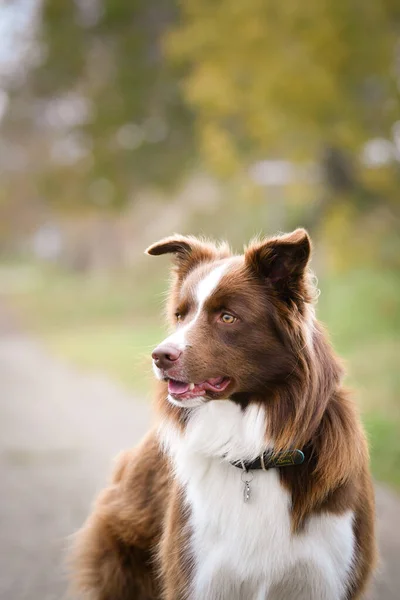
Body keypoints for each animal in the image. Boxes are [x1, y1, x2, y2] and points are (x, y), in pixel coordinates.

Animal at [71, 230, 376, 600]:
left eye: (228, 317)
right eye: (180, 315)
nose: (159, 356)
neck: (254, 453)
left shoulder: (326, 575)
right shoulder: (200, 576)